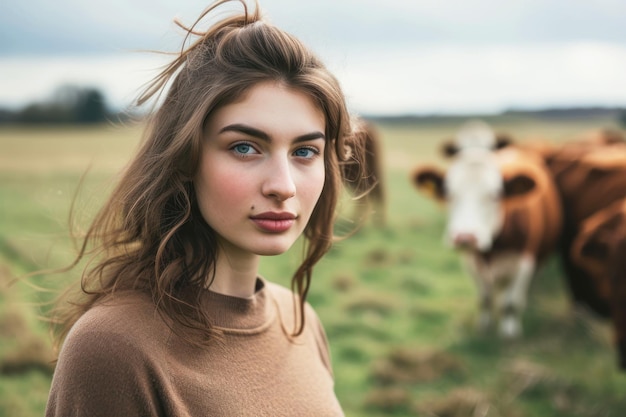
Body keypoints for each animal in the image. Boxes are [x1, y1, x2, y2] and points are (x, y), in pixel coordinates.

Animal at [410, 146, 560, 338]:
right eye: (448, 193)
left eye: (495, 195)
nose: (465, 237)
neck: (492, 248)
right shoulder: (471, 264)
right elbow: (484, 298)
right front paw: (484, 326)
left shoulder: (525, 264)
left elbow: (511, 303)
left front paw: (509, 331)